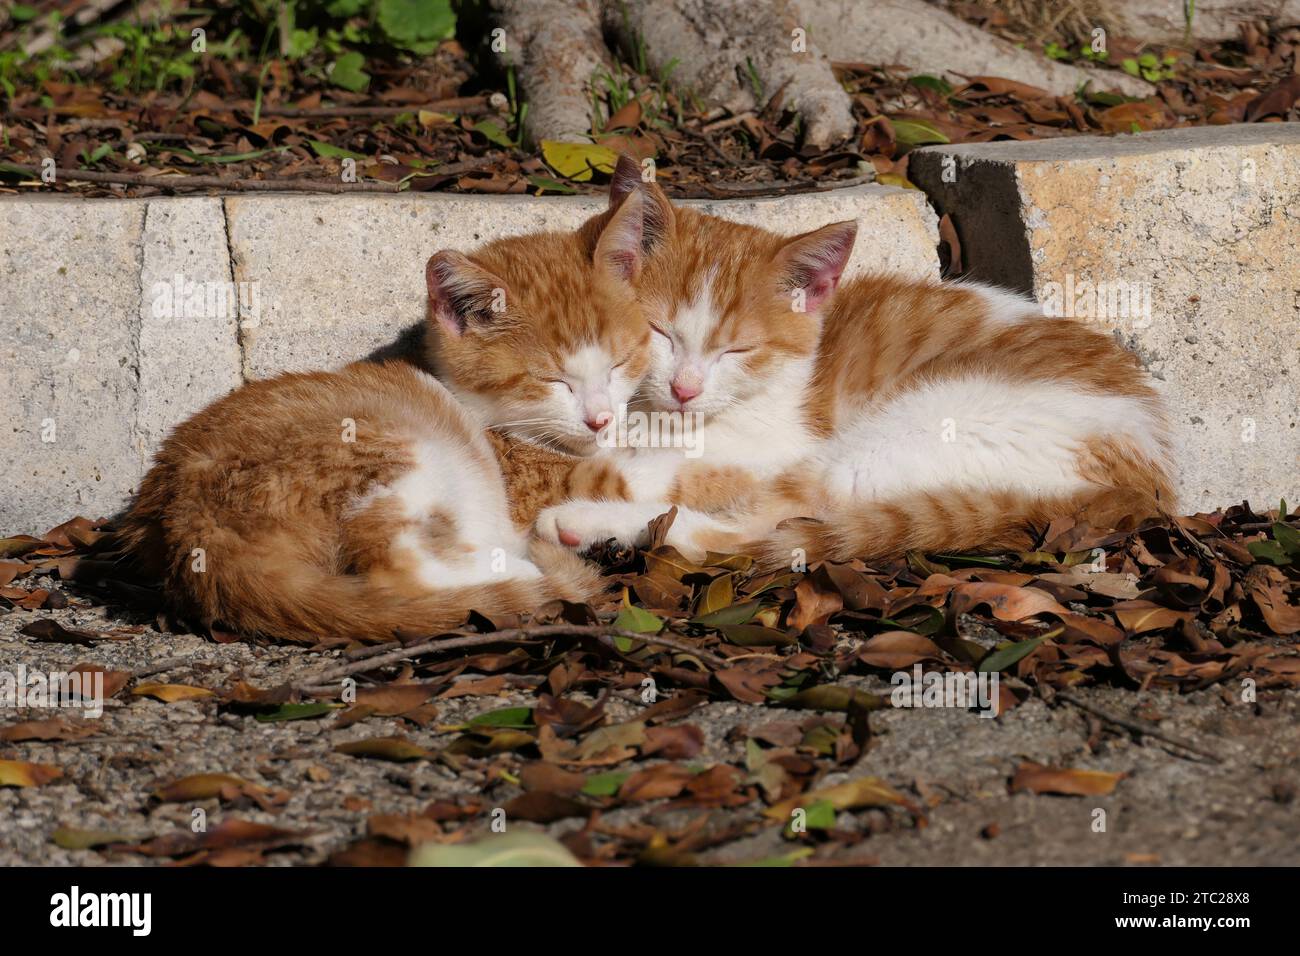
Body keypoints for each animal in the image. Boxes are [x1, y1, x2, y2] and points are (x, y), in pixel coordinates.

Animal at [116, 187, 655, 642]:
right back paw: (517, 572)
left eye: (620, 362)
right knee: (396, 568)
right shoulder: (540, 482)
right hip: (399, 455)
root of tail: (186, 528)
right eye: (552, 381)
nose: (600, 419)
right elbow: (634, 478)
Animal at [533, 161, 1175, 567]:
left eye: (737, 350)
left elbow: (681, 466)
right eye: (662, 333)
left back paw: (581, 521)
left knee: (755, 528)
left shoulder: (778, 440)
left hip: (914, 430)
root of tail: (1148, 486)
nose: (685, 389)